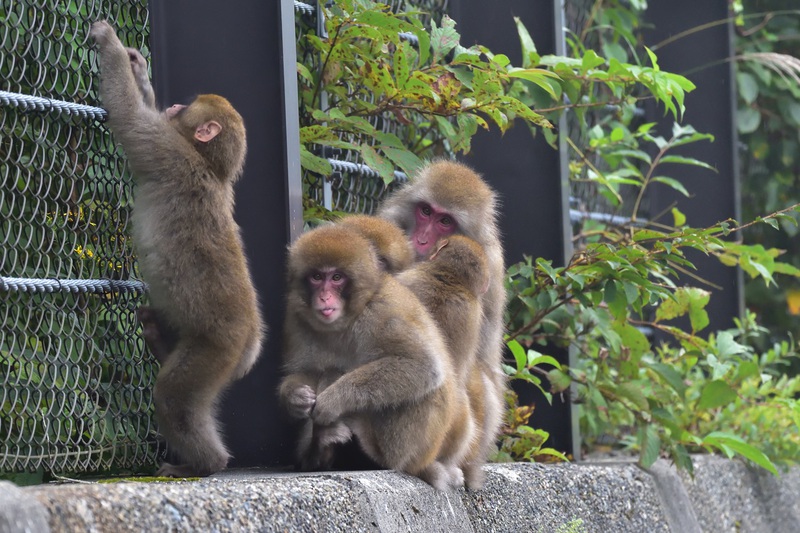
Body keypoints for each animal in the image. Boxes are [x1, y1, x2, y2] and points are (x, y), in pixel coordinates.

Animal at [90, 21, 266, 478]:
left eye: (187, 106)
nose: (174, 105)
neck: (210, 166)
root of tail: (250, 341)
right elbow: (138, 109)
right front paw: (138, 68)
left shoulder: (164, 148)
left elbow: (130, 117)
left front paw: (110, 45)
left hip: (215, 350)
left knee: (173, 397)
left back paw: (204, 464)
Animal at [278, 225, 472, 490]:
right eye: (316, 277)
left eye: (336, 278)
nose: (325, 297)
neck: (347, 320)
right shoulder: (296, 317)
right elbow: (306, 371)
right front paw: (295, 398)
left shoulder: (381, 312)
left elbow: (422, 366)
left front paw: (332, 402)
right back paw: (321, 448)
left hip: (408, 451)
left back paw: (372, 455)